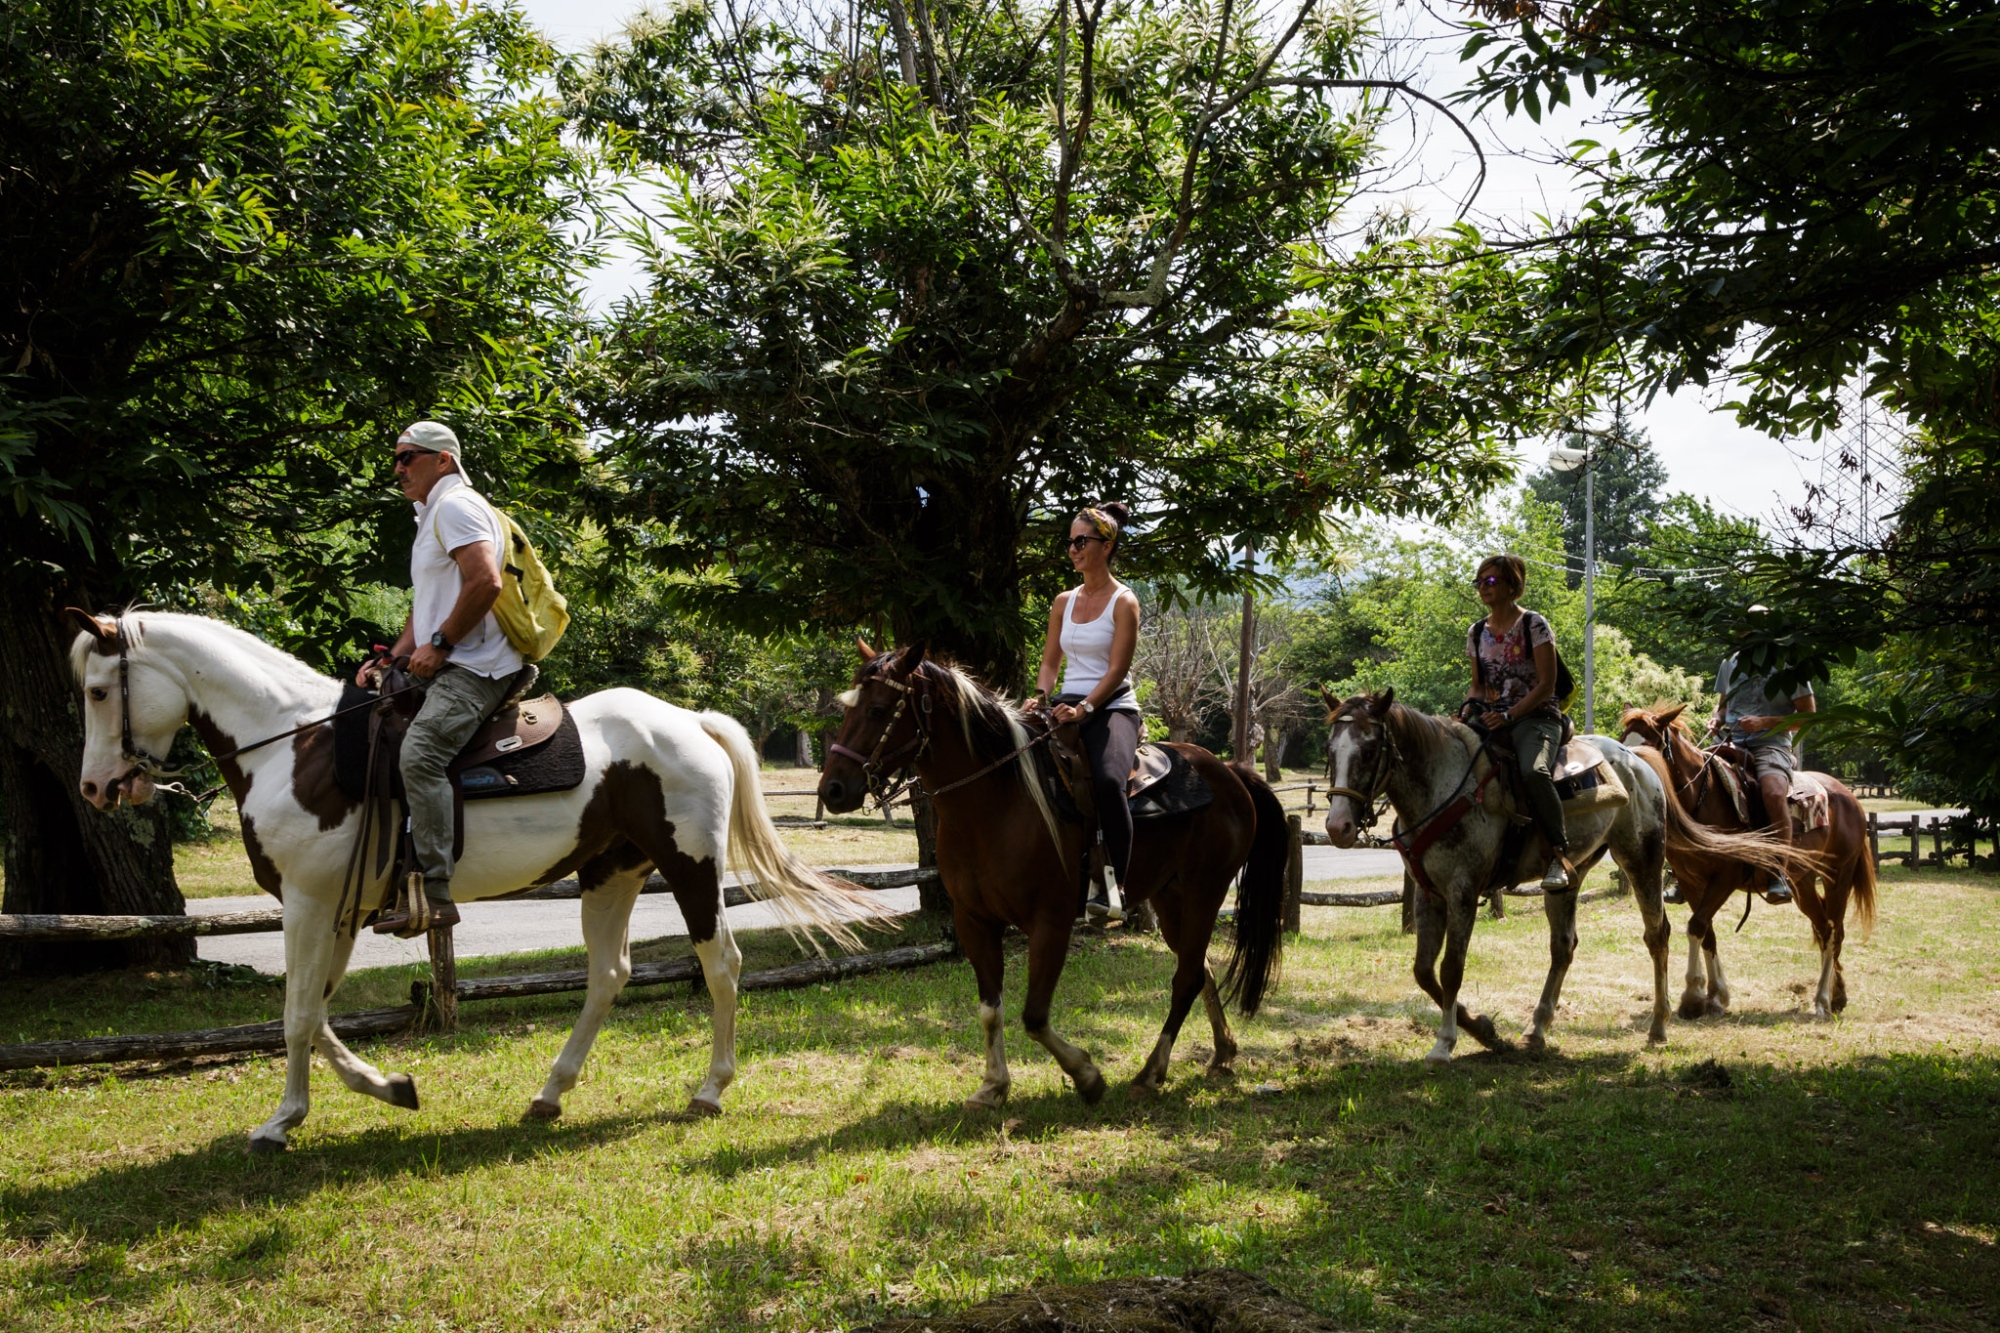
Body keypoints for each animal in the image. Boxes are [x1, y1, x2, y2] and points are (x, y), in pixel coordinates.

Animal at [70, 608, 876, 1144]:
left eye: (99, 691)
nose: (97, 788)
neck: (295, 746)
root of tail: (691, 720)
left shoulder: (308, 902)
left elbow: (298, 1017)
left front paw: (281, 1120)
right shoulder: (336, 910)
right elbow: (316, 1012)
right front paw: (390, 1086)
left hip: (690, 867)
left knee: (721, 963)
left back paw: (709, 1090)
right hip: (609, 874)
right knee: (609, 973)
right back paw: (549, 1094)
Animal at [816, 644, 1296, 1096]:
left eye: (879, 710)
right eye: (848, 708)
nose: (833, 789)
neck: (997, 802)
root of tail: (1229, 772)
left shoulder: (1051, 923)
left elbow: (1034, 1016)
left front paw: (1086, 1076)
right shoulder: (974, 920)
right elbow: (990, 1009)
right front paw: (993, 1085)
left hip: (1204, 891)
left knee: (1184, 979)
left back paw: (1150, 1072)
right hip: (1170, 895)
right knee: (1198, 969)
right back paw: (1222, 1051)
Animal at [1320, 684, 1792, 1056]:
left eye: (1369, 750)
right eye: (1330, 751)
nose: (1338, 827)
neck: (1444, 783)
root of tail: (1637, 759)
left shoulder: (1462, 891)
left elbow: (1452, 967)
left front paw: (1446, 1042)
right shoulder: (1427, 892)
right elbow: (1423, 971)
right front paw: (1487, 1031)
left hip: (1642, 858)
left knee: (1658, 934)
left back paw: (1659, 1026)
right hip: (1572, 875)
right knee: (1563, 946)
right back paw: (1537, 1027)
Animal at [1616, 700, 1880, 1020]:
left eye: (1648, 747)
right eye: (1621, 743)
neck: (1702, 799)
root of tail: (1850, 798)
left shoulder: (1725, 878)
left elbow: (1697, 926)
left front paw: (1693, 997)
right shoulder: (1690, 880)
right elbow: (1706, 931)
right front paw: (1715, 996)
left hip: (1838, 876)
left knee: (1834, 933)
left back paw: (1822, 1000)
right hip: (1803, 883)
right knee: (1824, 927)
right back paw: (1837, 994)